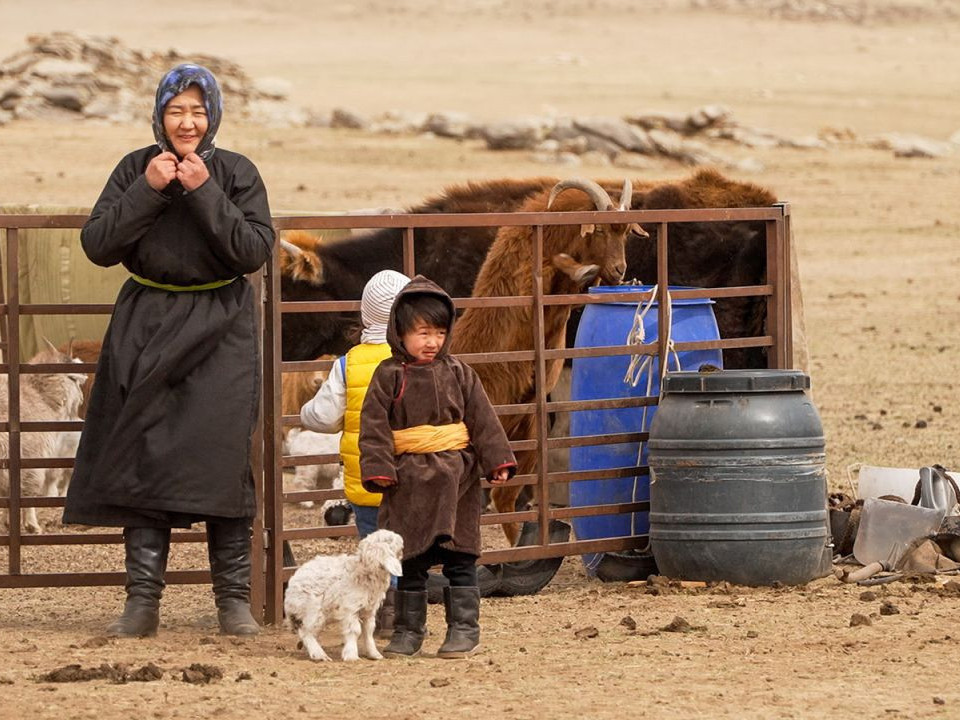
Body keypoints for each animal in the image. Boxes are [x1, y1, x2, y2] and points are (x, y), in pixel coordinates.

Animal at [284, 528, 404, 664]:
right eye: (389, 540)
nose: (401, 540)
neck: (362, 572)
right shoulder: (351, 608)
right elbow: (355, 631)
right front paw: (351, 655)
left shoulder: (368, 610)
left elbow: (368, 631)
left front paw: (374, 654)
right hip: (312, 610)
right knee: (305, 632)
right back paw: (319, 655)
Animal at [450, 177, 644, 544]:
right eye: (598, 229)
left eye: (625, 232)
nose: (620, 270)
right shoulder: (527, 284)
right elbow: (554, 266)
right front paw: (582, 268)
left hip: (525, 432)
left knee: (505, 498)